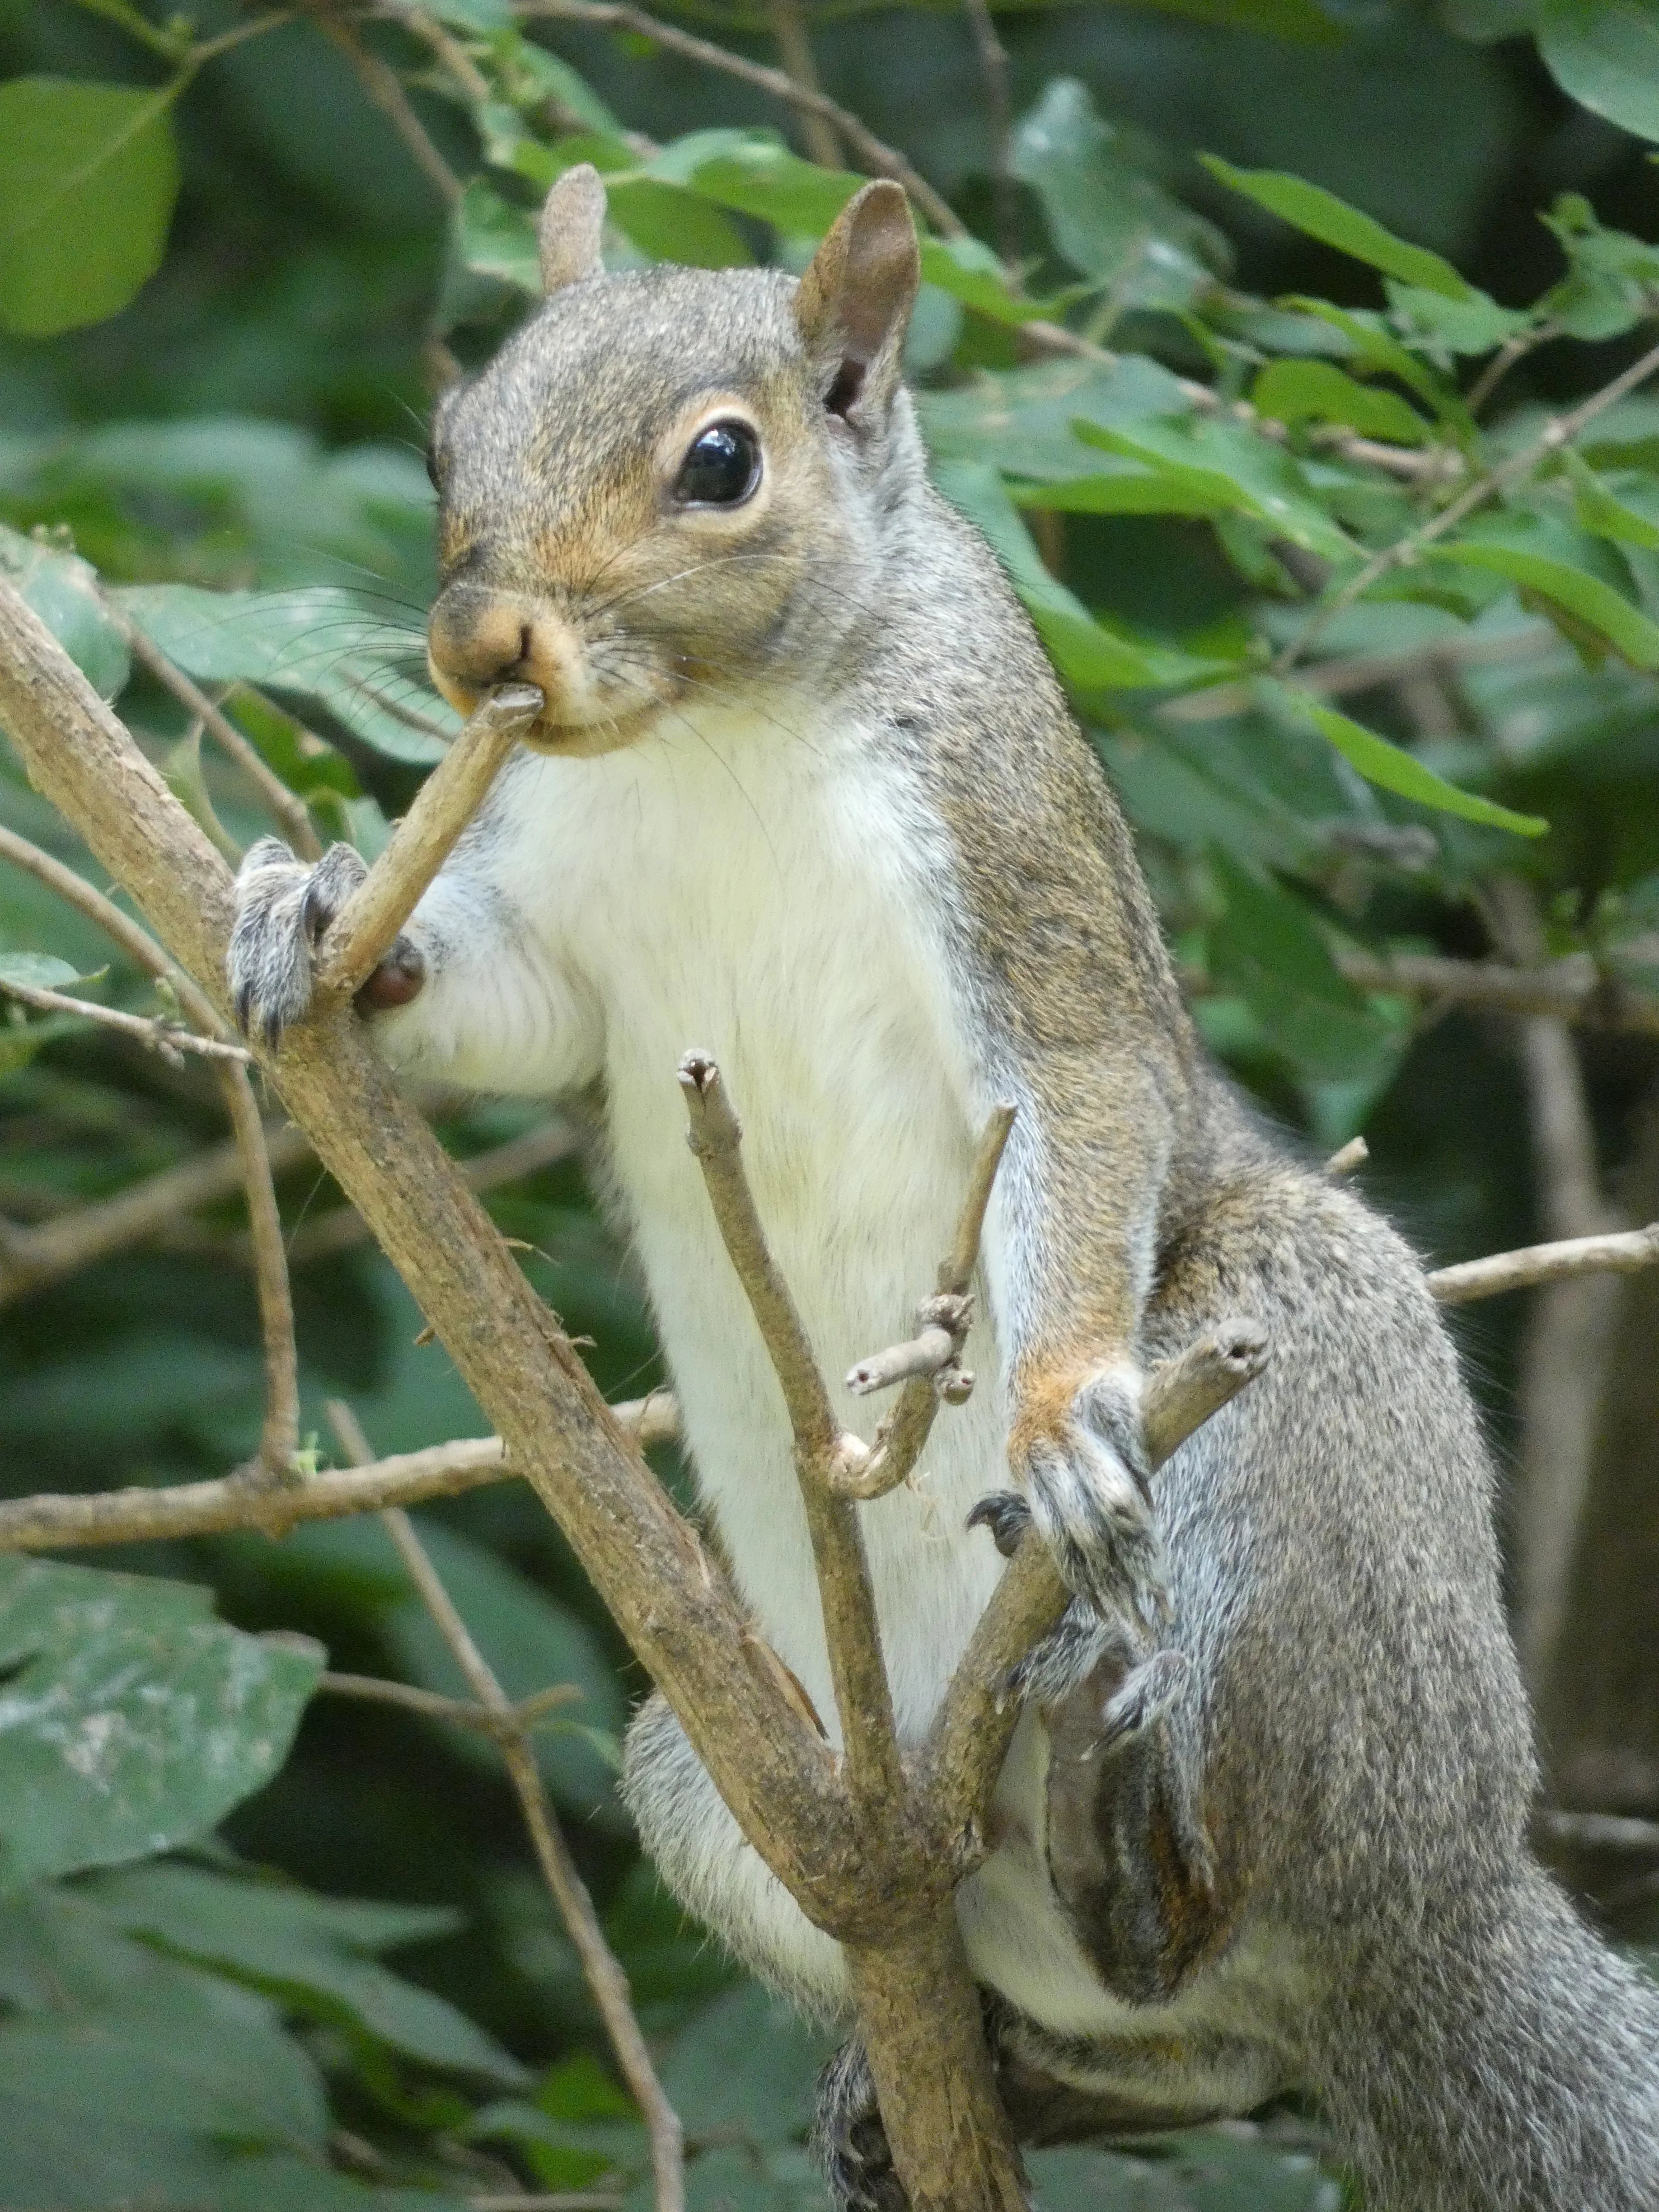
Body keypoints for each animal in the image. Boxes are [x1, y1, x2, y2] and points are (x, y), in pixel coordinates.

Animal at [229, 166, 1659, 2210]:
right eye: (448, 437)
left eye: (723, 461)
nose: (482, 647)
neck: (714, 733)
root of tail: (1442, 1940)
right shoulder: (571, 934)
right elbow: (506, 1003)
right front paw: (319, 909)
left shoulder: (1010, 848)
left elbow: (1082, 1078)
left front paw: (1058, 1414)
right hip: (730, 1793)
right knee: (1209, 2051)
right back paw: (1019, 2037)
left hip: (1317, 1481)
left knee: (1253, 1885)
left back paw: (1137, 1837)